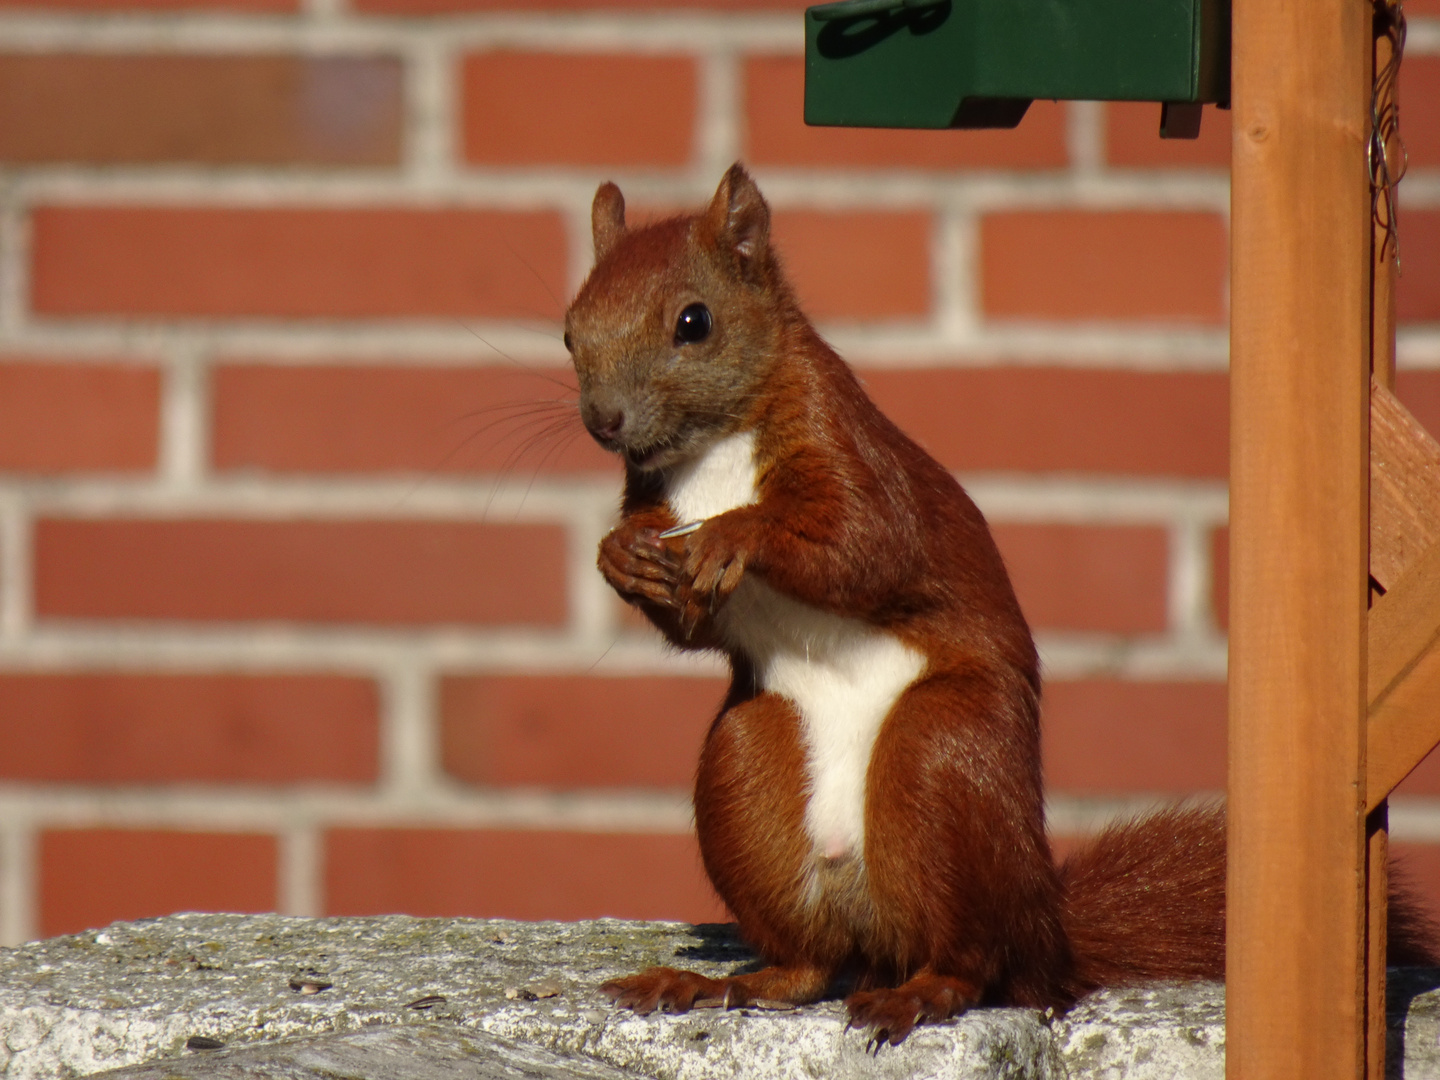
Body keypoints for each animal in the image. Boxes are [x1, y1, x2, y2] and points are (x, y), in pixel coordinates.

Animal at [558, 167, 1428, 1048]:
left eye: (693, 323)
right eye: (569, 330)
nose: (604, 421)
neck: (711, 453)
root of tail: (1047, 928)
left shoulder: (846, 448)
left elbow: (867, 543)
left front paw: (736, 532)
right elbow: (692, 620)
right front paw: (619, 556)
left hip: (947, 751)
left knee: (975, 961)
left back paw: (919, 993)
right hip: (746, 764)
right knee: (804, 968)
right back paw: (718, 984)